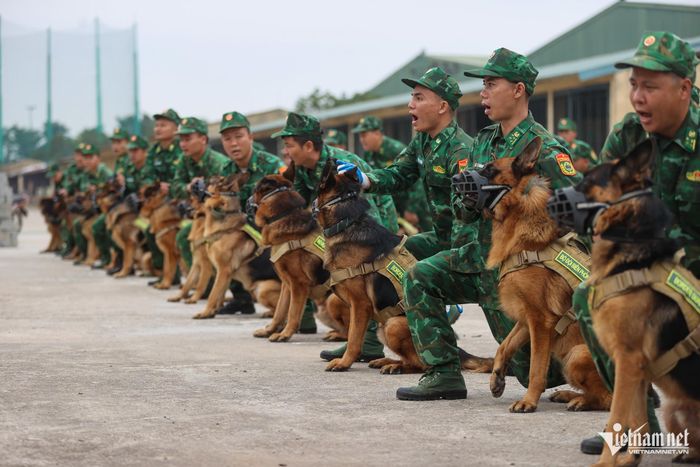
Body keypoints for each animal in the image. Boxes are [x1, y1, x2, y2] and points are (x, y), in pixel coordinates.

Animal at [191, 176, 282, 322]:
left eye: (211, 181)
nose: (194, 182)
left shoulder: (223, 270)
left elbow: (213, 294)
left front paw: (205, 313)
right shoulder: (225, 274)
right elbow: (219, 294)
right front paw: (212, 312)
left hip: (261, 289)